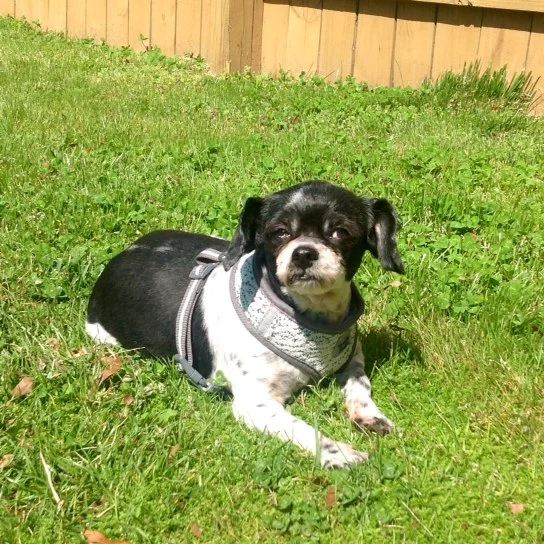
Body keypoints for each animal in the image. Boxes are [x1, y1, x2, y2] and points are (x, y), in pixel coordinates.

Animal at [86, 182, 404, 468]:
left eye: (341, 232)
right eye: (279, 232)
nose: (303, 252)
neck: (308, 318)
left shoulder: (352, 358)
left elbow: (360, 385)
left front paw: (369, 416)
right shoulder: (256, 404)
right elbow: (303, 428)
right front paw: (338, 453)